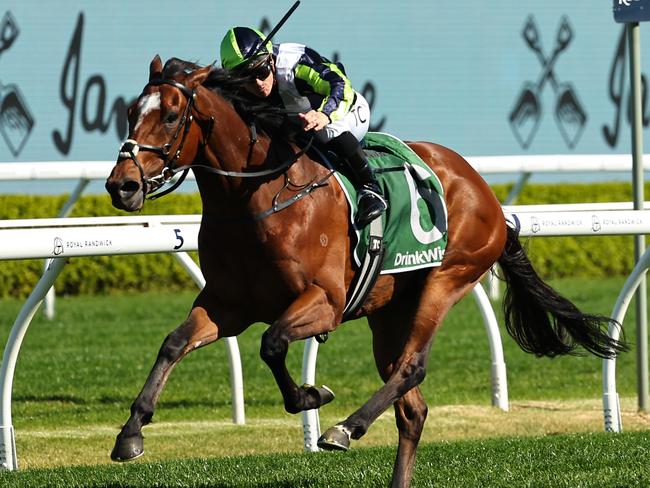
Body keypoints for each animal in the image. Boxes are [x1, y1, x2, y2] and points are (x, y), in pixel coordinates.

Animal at [105, 55, 624, 486]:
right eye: (130, 112)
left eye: (171, 116)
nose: (121, 185)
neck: (258, 198)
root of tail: (486, 193)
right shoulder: (226, 304)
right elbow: (174, 343)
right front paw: (131, 433)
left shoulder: (326, 302)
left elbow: (272, 343)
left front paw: (312, 396)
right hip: (389, 312)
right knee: (412, 409)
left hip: (447, 278)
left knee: (412, 368)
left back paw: (345, 427)